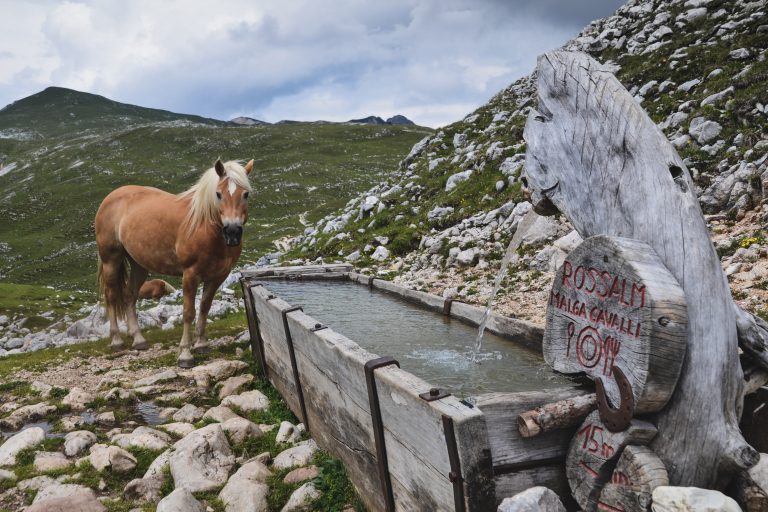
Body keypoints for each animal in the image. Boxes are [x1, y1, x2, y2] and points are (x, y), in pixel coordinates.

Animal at [95, 159, 253, 367]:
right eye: (219, 194)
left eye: (246, 193)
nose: (233, 232)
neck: (204, 227)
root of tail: (110, 197)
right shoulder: (190, 274)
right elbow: (188, 312)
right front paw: (185, 354)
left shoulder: (218, 276)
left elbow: (205, 307)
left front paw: (201, 344)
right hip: (111, 260)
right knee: (112, 296)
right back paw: (116, 341)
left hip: (139, 265)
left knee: (129, 296)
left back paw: (139, 339)